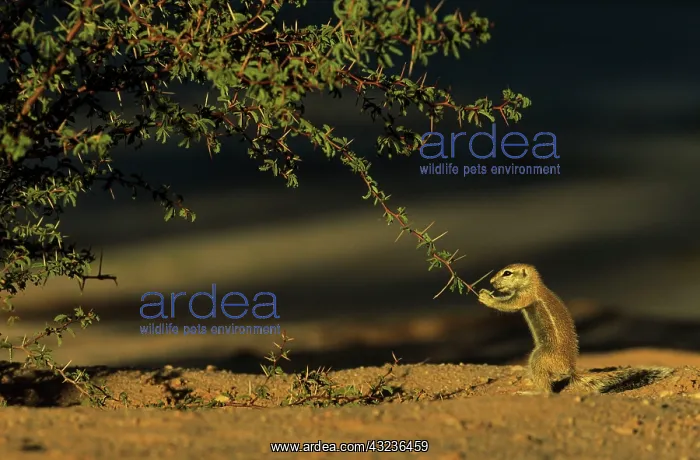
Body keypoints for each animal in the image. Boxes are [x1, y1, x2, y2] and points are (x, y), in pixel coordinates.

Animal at [477, 263, 673, 394]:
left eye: (507, 273)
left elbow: (510, 305)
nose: (491, 281)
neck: (534, 284)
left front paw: (486, 297)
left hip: (539, 357)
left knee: (547, 391)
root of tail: (570, 369)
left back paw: (531, 392)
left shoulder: (525, 296)